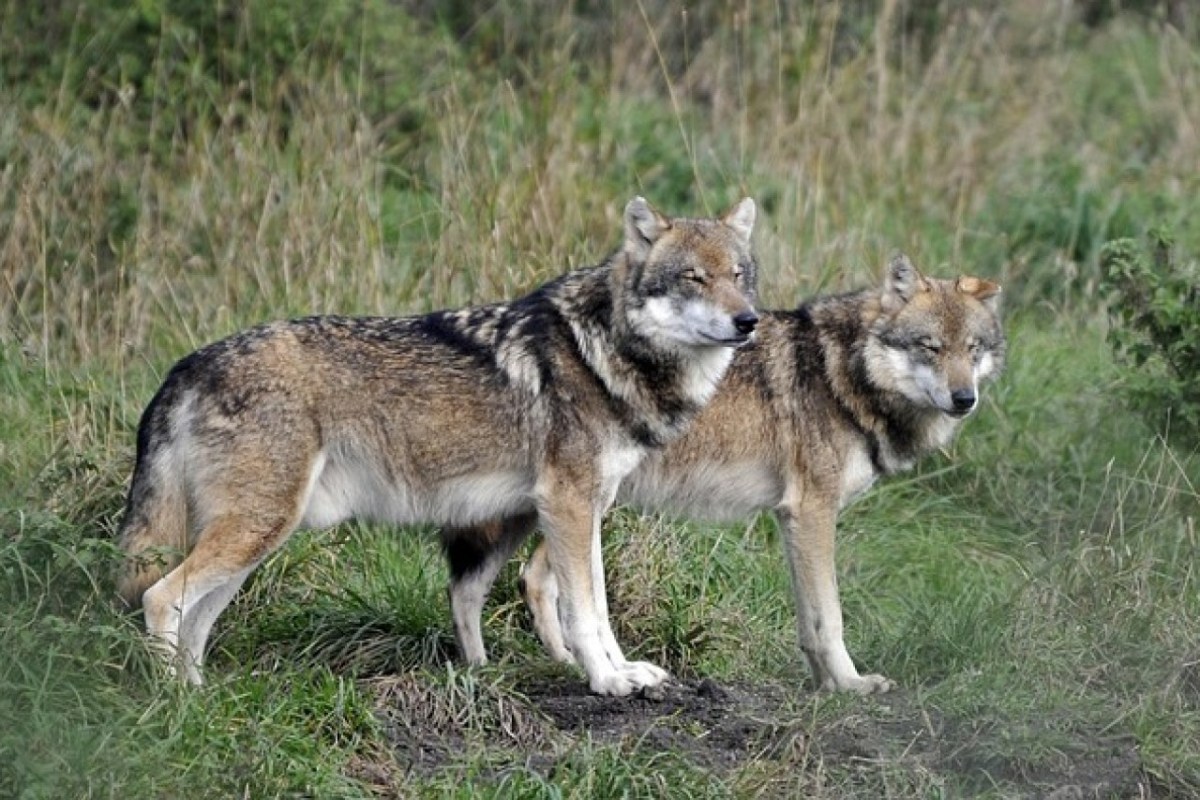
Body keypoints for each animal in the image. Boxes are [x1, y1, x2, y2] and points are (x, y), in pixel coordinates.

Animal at [116, 196, 760, 696]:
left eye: (738, 275)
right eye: (693, 278)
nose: (748, 321)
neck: (602, 351)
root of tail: (187, 365)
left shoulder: (586, 508)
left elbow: (593, 605)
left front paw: (623, 671)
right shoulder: (570, 506)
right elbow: (587, 610)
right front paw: (607, 681)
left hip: (256, 539)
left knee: (195, 620)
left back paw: (201, 694)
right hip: (257, 528)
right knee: (160, 598)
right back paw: (177, 702)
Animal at [446, 254, 1005, 693]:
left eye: (973, 348)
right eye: (930, 347)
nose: (964, 399)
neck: (839, 375)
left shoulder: (793, 519)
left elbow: (809, 620)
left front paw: (824, 687)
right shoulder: (812, 512)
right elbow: (830, 617)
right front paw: (851, 684)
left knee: (533, 578)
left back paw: (563, 666)